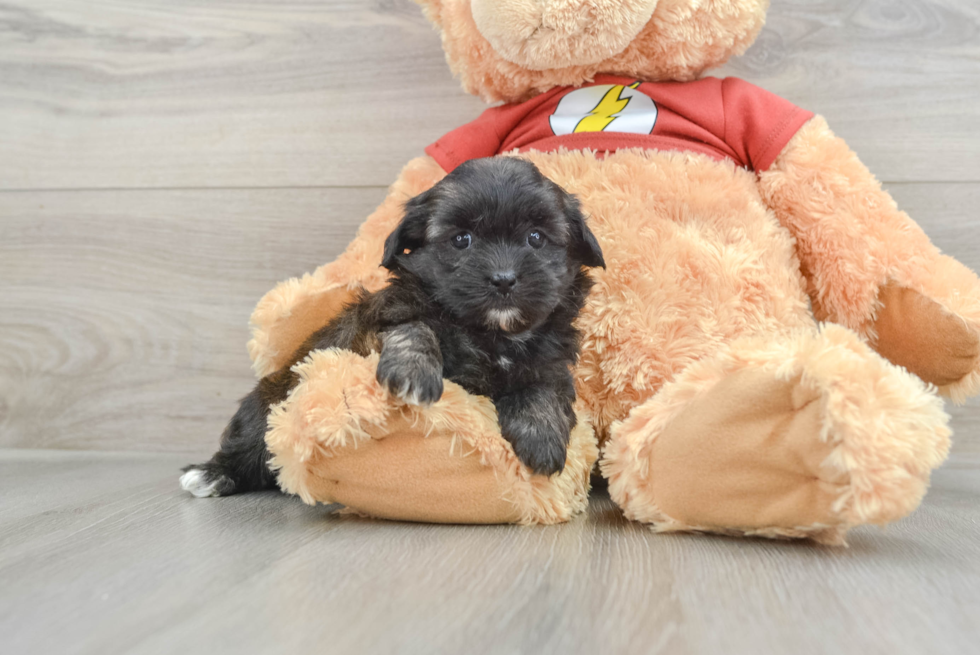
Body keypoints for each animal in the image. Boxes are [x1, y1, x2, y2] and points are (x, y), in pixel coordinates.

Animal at [180, 158, 600, 498]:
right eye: (461, 240)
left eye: (536, 238)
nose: (503, 279)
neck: (492, 334)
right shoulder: (375, 328)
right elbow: (415, 329)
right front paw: (413, 373)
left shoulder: (550, 362)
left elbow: (544, 389)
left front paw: (542, 436)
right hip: (267, 405)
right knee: (251, 444)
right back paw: (210, 475)